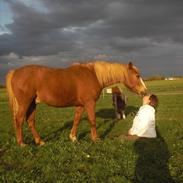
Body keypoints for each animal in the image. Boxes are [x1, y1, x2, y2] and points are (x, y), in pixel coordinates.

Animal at [5, 60, 147, 147]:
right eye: (137, 75)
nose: (145, 91)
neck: (93, 75)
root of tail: (15, 72)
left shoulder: (80, 105)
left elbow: (77, 119)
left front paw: (73, 137)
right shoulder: (89, 103)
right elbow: (92, 120)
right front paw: (96, 139)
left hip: (33, 104)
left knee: (30, 121)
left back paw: (40, 141)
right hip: (25, 103)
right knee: (19, 120)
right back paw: (22, 143)